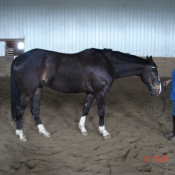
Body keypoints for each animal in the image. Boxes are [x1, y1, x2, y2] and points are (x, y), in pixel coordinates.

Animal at [10, 47, 161, 141]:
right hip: (27, 93)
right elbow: (101, 112)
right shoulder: (101, 93)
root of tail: (17, 59)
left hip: (37, 90)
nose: (158, 89)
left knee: (35, 110)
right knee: (19, 111)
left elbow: (86, 109)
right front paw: (104, 132)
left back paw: (44, 132)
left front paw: (82, 129)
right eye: (154, 70)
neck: (107, 63)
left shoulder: (91, 92)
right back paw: (21, 135)